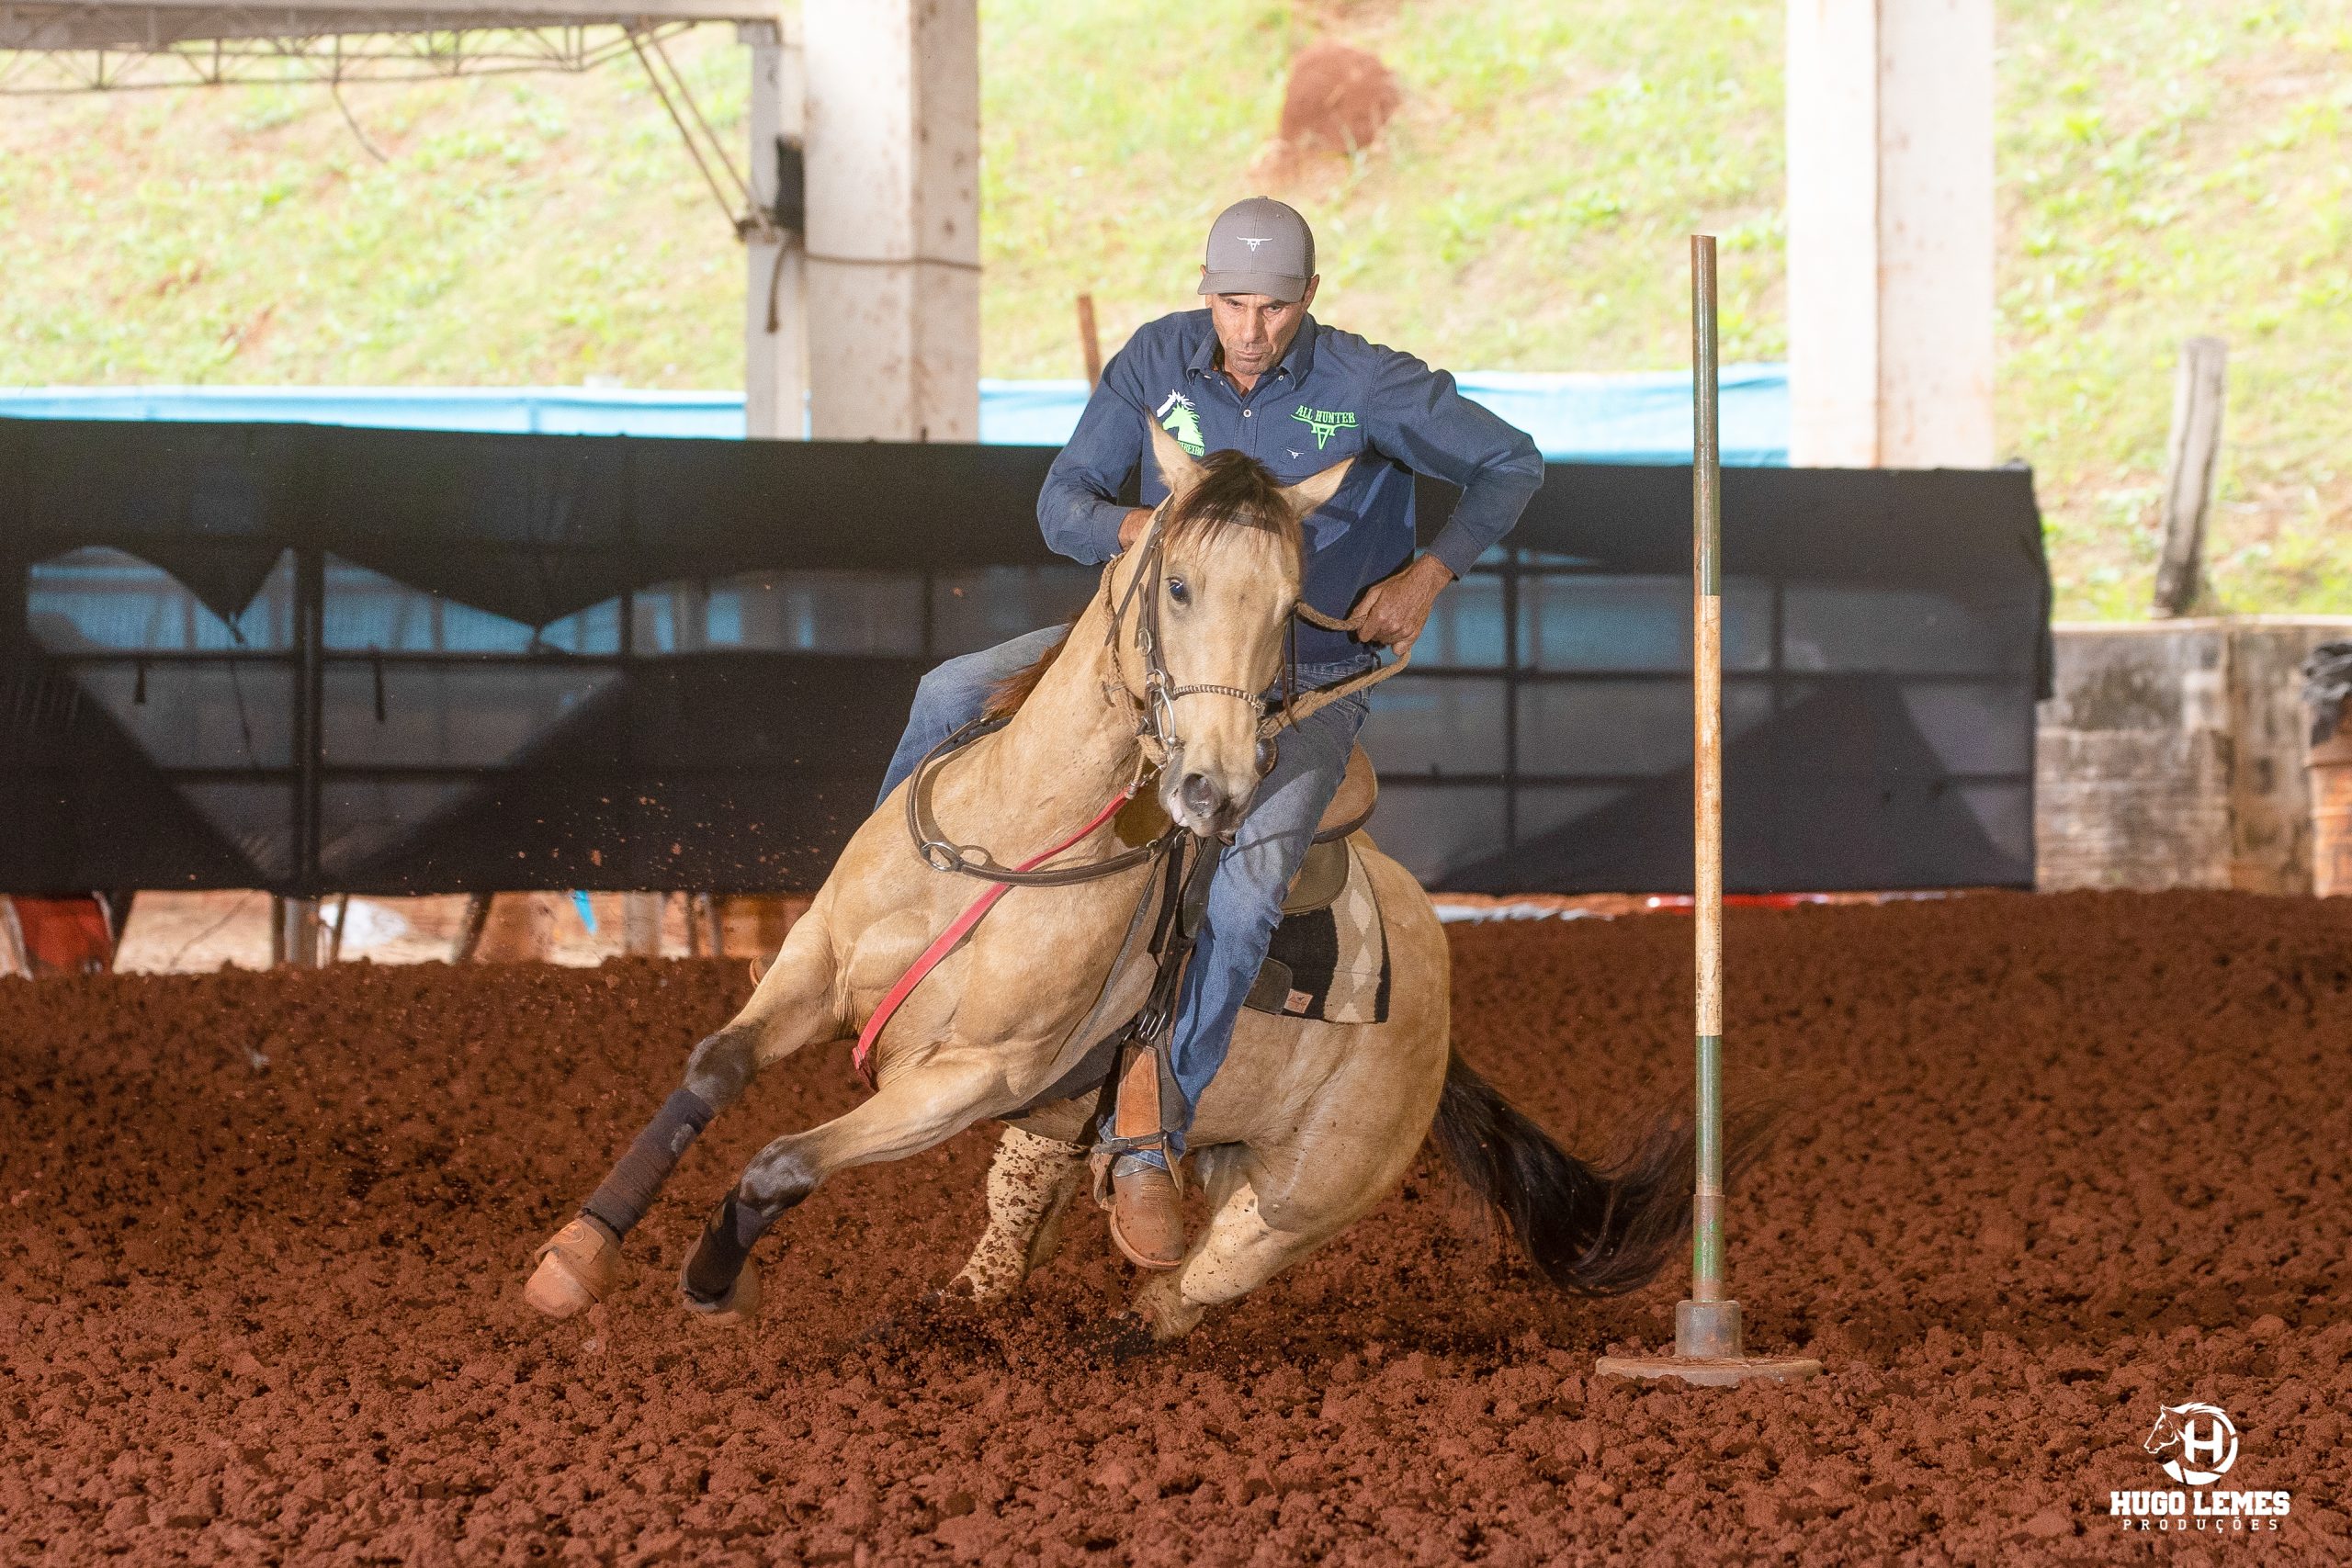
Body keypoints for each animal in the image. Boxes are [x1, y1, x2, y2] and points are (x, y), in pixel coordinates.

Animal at [524, 423, 1712, 1344]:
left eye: (1288, 605)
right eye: (1176, 584)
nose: (1215, 785)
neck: (1015, 837)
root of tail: (1438, 1009)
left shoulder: (971, 1076)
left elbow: (782, 1162)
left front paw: (712, 1281)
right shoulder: (814, 961)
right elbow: (714, 1070)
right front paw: (574, 1259)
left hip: (1300, 1196)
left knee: (1186, 1292)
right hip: (1083, 1131)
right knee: (1020, 1222)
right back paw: (950, 1312)